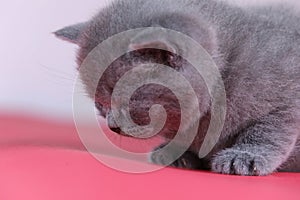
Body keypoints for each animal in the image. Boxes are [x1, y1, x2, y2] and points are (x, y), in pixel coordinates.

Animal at [55, 0, 300, 175]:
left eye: (127, 98)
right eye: (100, 104)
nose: (112, 125)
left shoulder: (287, 101)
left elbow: (268, 131)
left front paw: (243, 156)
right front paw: (178, 152)